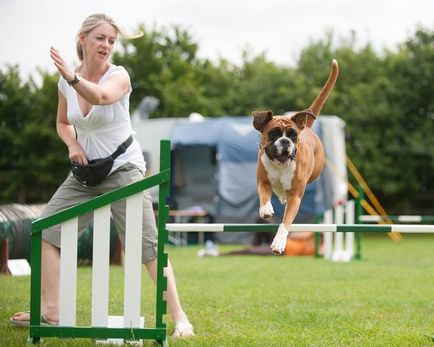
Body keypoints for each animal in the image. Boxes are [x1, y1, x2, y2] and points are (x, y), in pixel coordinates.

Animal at [251, 59, 340, 256]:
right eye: (274, 133)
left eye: (292, 135)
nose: (285, 141)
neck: (280, 166)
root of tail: (307, 128)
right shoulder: (263, 181)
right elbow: (264, 196)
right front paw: (266, 209)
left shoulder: (296, 198)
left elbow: (285, 222)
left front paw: (278, 243)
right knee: (278, 190)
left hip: (315, 172)